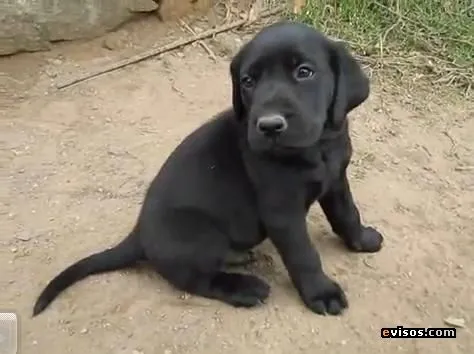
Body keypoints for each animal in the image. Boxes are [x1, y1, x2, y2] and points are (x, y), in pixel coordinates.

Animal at [33, 20, 384, 316]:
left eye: (304, 72)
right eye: (248, 81)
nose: (269, 126)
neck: (318, 148)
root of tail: (138, 235)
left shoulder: (336, 180)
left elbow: (347, 214)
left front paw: (362, 239)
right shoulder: (282, 212)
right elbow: (304, 255)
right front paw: (321, 293)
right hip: (200, 233)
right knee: (197, 278)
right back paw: (244, 287)